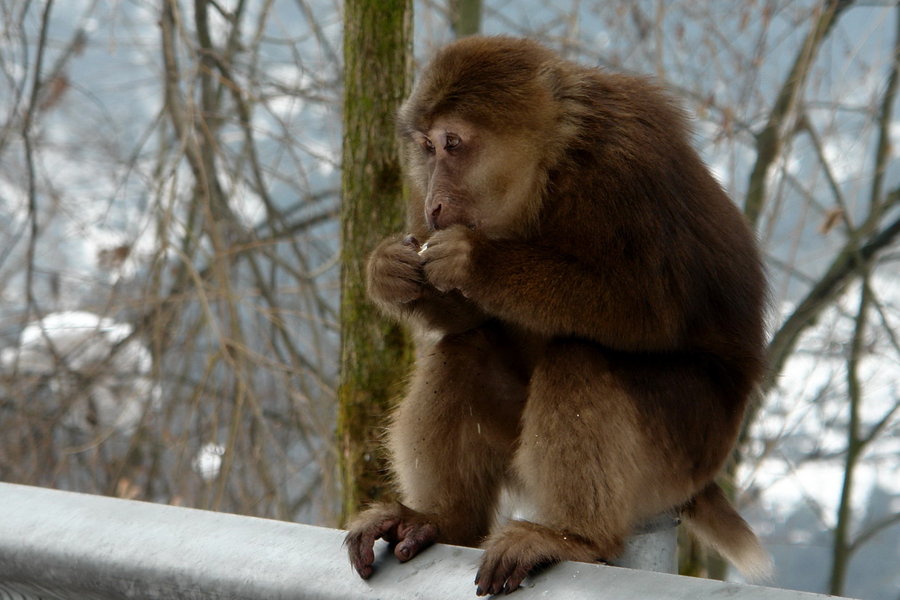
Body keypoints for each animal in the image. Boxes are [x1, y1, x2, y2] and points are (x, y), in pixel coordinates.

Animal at [348, 36, 768, 596]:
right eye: (427, 148)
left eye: (453, 143)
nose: (434, 202)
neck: (551, 170)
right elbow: (461, 321)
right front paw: (388, 271)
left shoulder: (627, 164)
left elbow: (652, 309)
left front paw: (477, 261)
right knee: (467, 348)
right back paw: (440, 520)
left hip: (681, 450)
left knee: (579, 357)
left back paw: (575, 538)